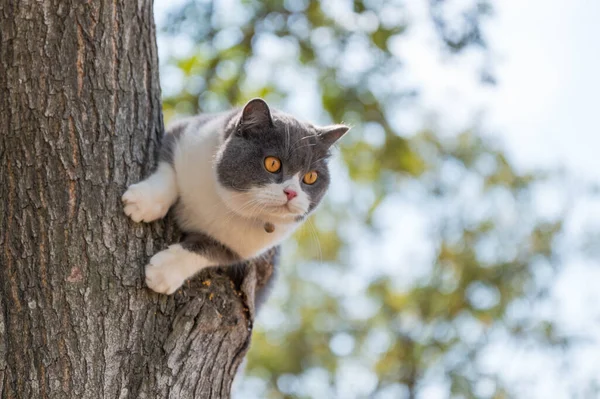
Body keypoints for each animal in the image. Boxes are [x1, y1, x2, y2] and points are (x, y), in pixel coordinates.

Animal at [122, 98, 346, 296]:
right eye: (272, 163)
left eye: (310, 177)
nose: (291, 192)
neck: (225, 203)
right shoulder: (185, 136)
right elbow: (169, 172)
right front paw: (142, 203)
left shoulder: (238, 248)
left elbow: (206, 250)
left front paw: (164, 273)